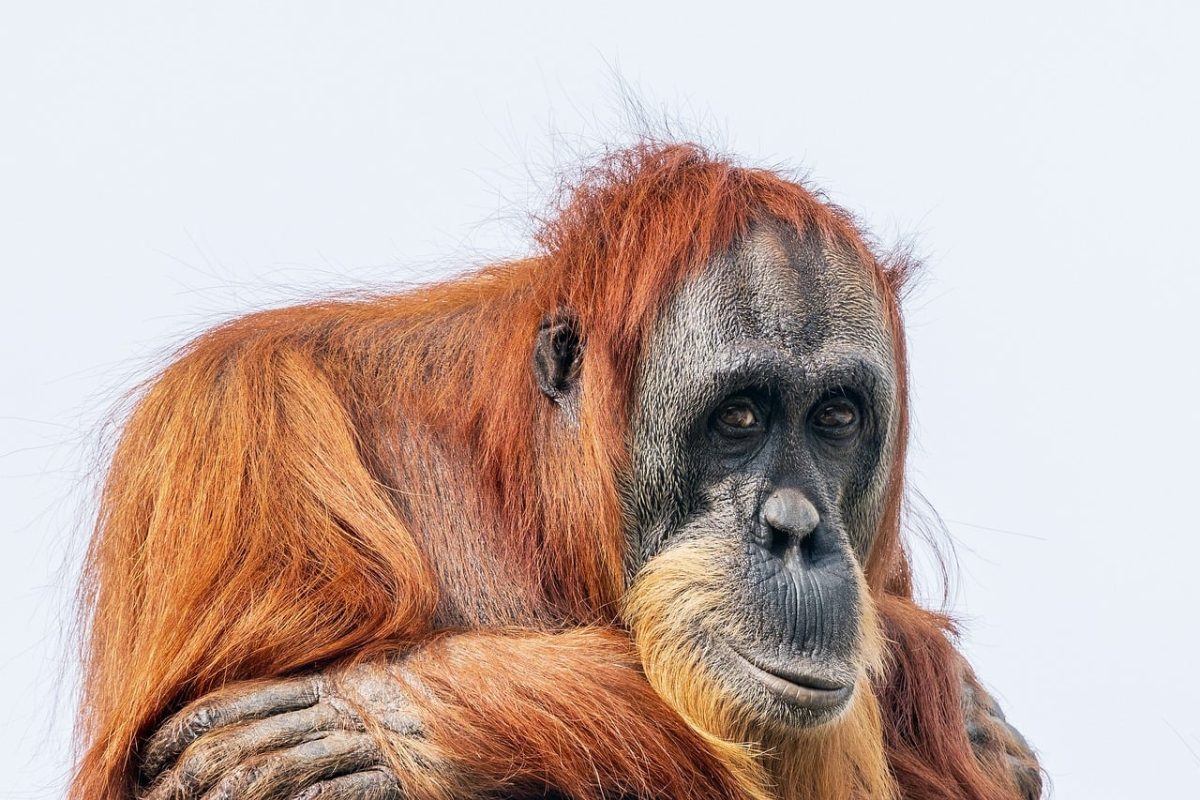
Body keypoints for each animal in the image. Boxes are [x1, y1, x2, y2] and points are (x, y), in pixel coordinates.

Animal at [73, 143, 1041, 800]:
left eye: (834, 418)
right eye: (740, 417)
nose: (797, 529)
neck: (525, 489)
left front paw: (384, 718)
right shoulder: (241, 418)